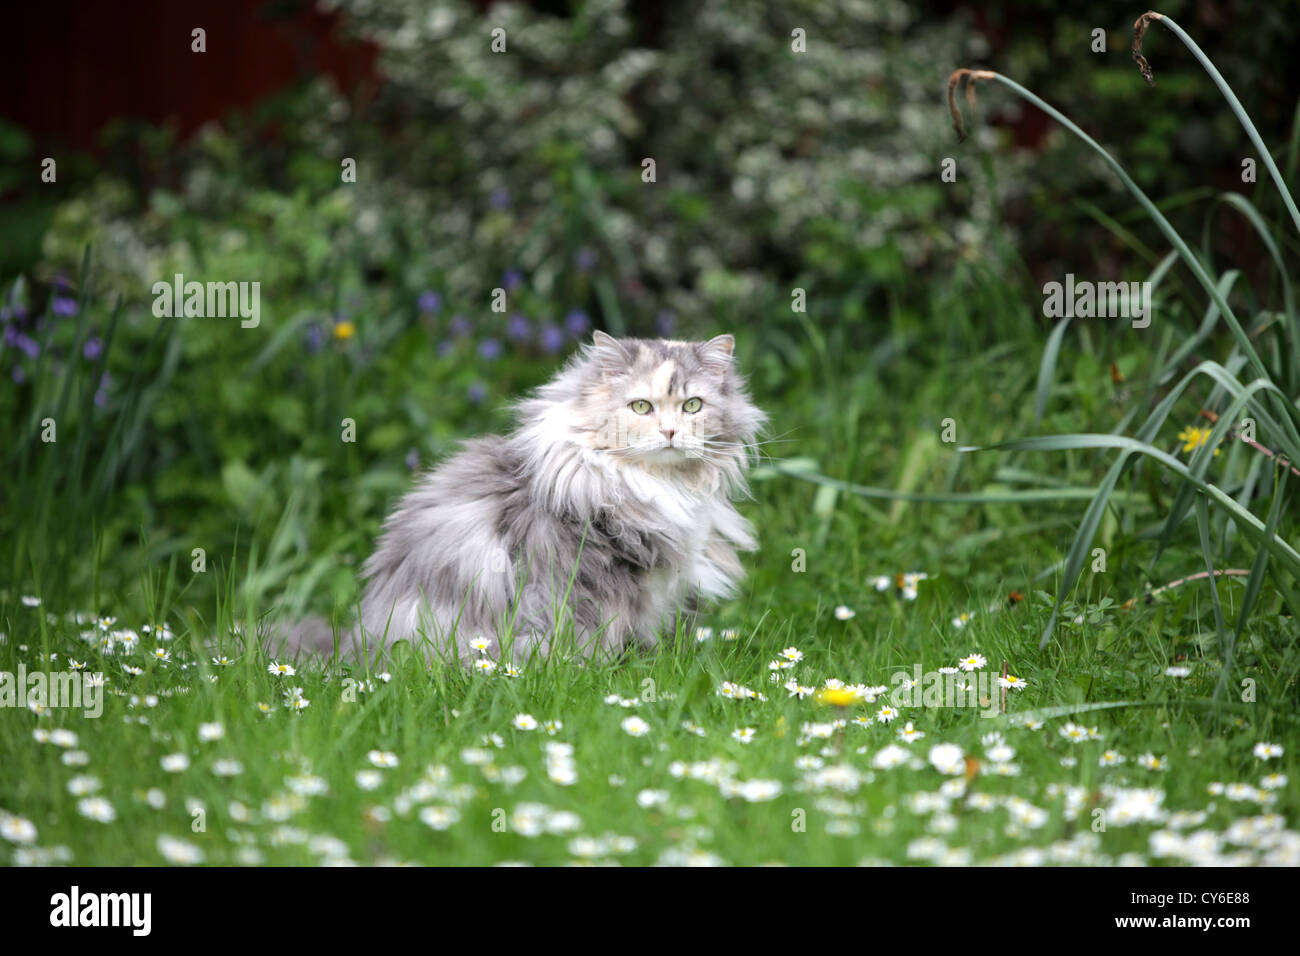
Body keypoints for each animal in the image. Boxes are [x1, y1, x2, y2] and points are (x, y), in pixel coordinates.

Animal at [274, 330, 759, 665]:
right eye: (641, 407)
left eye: (693, 406)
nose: (671, 432)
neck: (655, 485)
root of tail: (357, 651)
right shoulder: (602, 584)